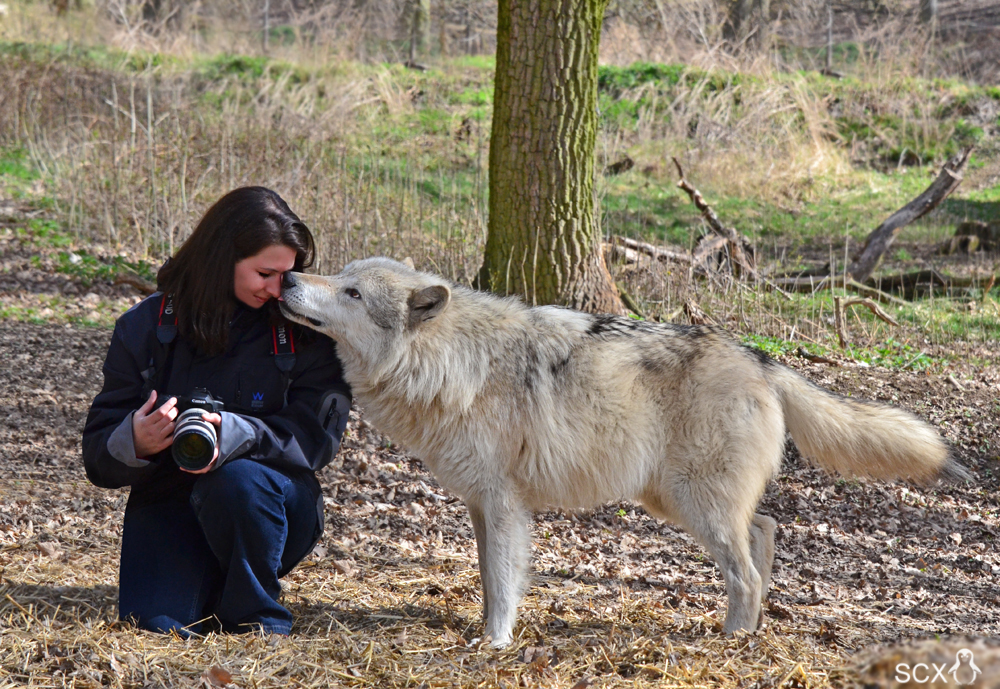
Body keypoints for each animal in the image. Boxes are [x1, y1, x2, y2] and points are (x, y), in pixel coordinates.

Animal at [278, 255, 956, 648]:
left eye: (352, 292)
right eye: (336, 273)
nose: (287, 277)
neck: (452, 363)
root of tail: (759, 359)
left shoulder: (503, 504)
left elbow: (502, 582)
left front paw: (494, 645)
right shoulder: (480, 506)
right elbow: (489, 581)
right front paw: (486, 630)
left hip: (694, 506)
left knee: (745, 569)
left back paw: (733, 640)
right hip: (675, 501)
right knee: (764, 532)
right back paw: (752, 625)